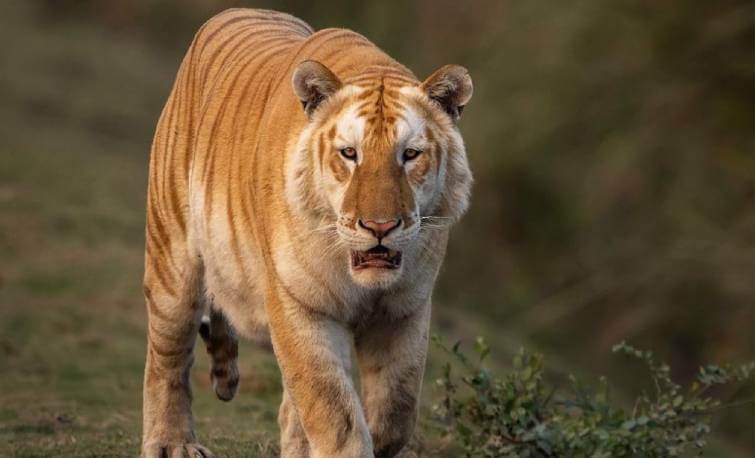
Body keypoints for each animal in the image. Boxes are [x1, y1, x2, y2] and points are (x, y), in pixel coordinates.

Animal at [142, 8, 472, 458]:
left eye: (409, 155)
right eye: (349, 154)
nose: (380, 226)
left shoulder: (405, 310)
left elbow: (394, 413)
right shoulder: (299, 304)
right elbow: (334, 412)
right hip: (172, 262)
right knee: (168, 358)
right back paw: (172, 444)